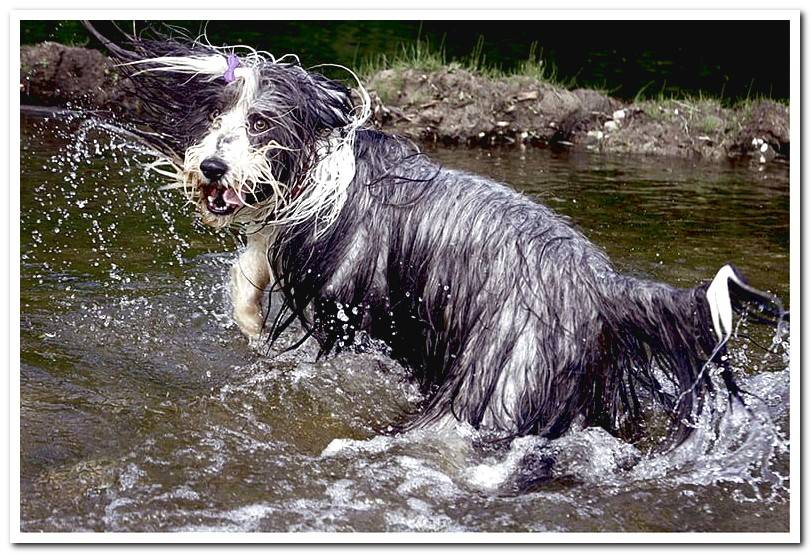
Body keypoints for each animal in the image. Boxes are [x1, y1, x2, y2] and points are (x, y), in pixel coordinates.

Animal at [87, 23, 788, 444]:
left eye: (260, 123)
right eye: (215, 116)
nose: (209, 166)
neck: (328, 165)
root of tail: (604, 287)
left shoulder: (343, 287)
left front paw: (254, 323)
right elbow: (252, 259)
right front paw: (250, 316)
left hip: (500, 377)